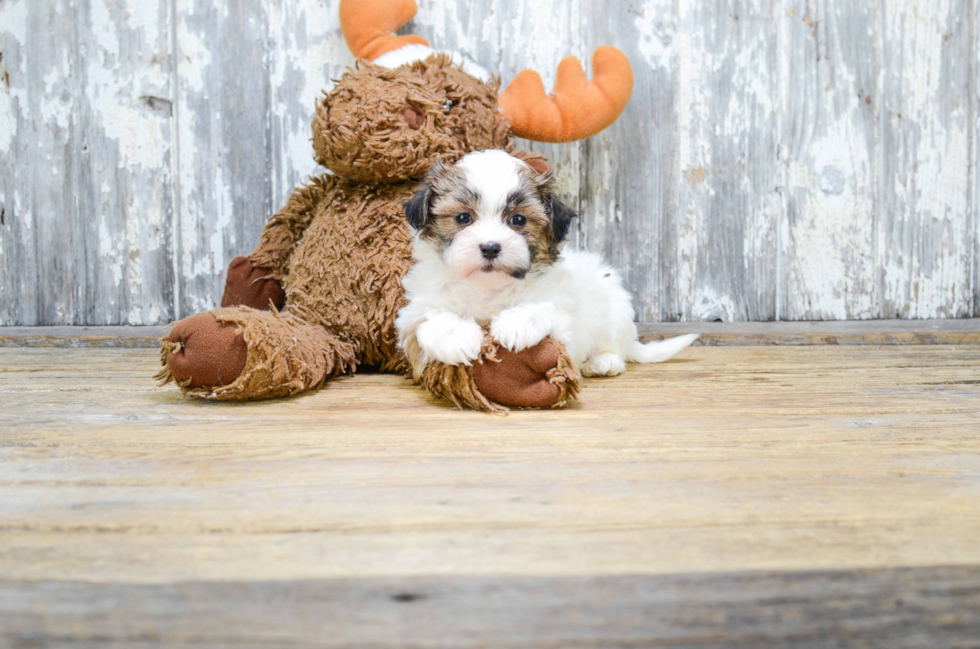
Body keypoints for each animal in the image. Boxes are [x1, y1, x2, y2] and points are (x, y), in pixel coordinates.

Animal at [394, 149, 700, 378]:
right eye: (462, 218)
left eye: (518, 220)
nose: (491, 247)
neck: (487, 287)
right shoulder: (414, 311)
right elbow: (428, 319)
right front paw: (455, 335)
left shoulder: (563, 318)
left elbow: (545, 309)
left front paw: (515, 323)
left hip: (613, 310)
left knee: (614, 346)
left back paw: (603, 362)